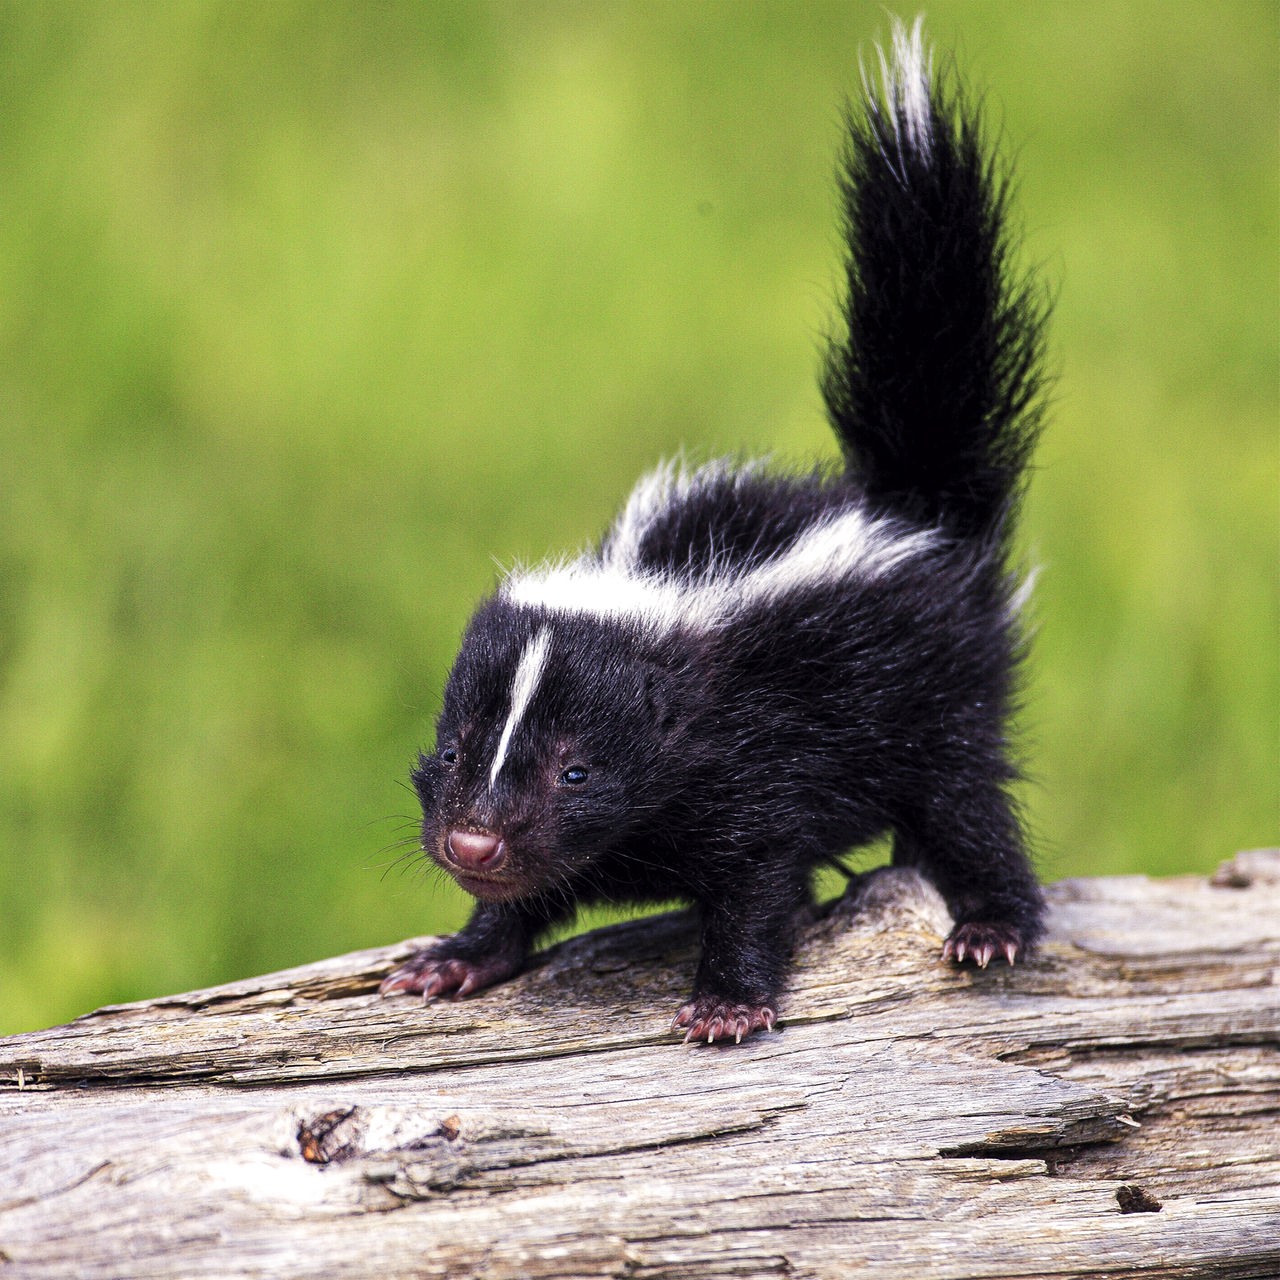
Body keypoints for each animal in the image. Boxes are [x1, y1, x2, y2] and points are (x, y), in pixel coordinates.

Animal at [378, 17, 1049, 1039]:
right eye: (455, 749)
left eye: (576, 772)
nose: (472, 840)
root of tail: (905, 505)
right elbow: (525, 901)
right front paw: (456, 957)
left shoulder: (760, 765)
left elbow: (757, 884)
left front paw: (728, 1003)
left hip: (937, 695)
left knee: (968, 805)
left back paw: (990, 926)